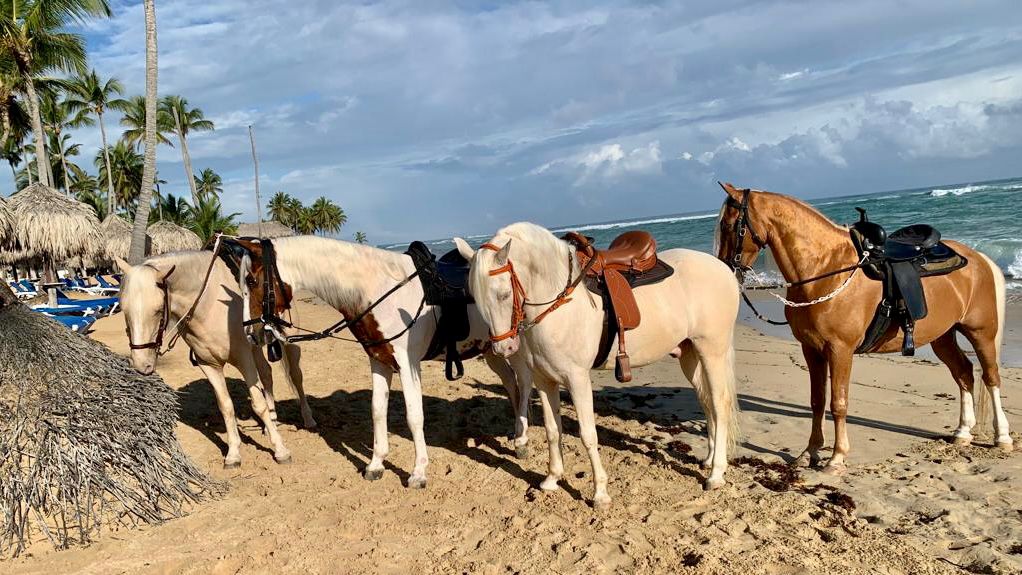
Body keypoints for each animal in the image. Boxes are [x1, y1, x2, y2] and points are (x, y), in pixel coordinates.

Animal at [116, 251, 316, 468]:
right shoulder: (209, 365)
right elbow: (226, 407)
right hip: (256, 348)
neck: (209, 304)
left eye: (158, 310)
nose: (141, 364)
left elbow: (258, 404)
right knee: (266, 374)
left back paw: (308, 419)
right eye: (123, 309)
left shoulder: (244, 359)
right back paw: (271, 420)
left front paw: (280, 450)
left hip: (288, 342)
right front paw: (234, 453)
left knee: (296, 377)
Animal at [232, 235, 532, 489]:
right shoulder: (379, 362)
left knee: (524, 386)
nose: (250, 334)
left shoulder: (408, 365)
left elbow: (414, 416)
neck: (381, 290)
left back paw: (521, 440)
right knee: (512, 385)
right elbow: (377, 411)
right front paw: (376, 465)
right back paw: (515, 434)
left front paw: (418, 472)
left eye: (251, 280)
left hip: (513, 348)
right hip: (493, 350)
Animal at [457, 222, 741, 507]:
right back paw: (709, 460)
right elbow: (552, 429)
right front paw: (552, 479)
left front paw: (600, 493)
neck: (560, 302)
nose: (504, 348)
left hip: (712, 352)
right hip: (690, 355)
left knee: (720, 404)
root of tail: (722, 268)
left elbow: (588, 435)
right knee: (706, 402)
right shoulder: (544, 380)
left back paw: (716, 474)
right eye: (475, 299)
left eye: (504, 294)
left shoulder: (577, 379)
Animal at [714, 183, 1011, 474]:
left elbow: (838, 403)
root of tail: (978, 258)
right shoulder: (811, 350)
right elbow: (817, 401)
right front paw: (810, 452)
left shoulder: (840, 351)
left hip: (981, 332)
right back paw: (963, 432)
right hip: (943, 336)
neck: (826, 269)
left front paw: (836, 458)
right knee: (964, 373)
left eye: (729, 226)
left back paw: (1003, 437)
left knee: (991, 377)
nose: (725, 271)